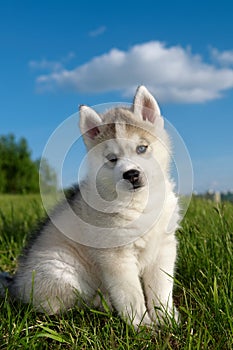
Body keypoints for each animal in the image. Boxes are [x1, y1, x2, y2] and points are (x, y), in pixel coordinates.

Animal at [0, 86, 180, 326]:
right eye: (112, 159)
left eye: (142, 148)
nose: (132, 174)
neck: (140, 203)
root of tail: (15, 285)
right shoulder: (116, 256)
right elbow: (131, 294)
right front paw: (142, 326)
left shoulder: (163, 248)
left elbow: (161, 289)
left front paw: (167, 319)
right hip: (62, 272)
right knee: (67, 304)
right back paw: (102, 304)